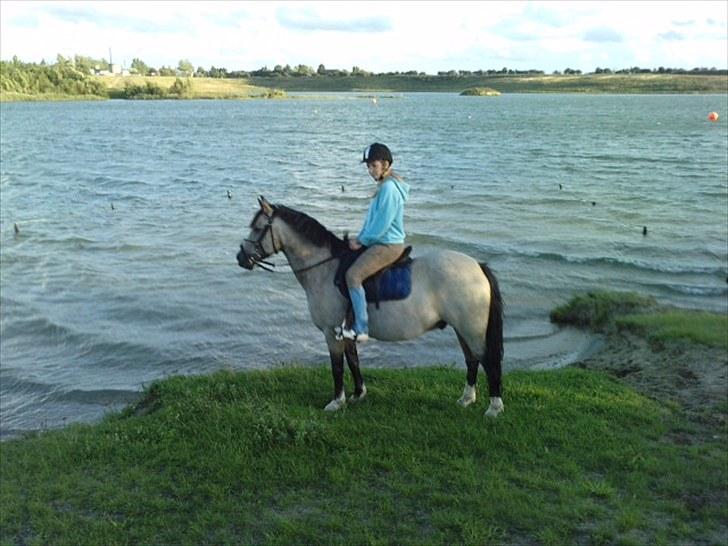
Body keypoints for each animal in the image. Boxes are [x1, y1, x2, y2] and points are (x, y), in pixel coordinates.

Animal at [237, 196, 505, 417]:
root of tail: (478, 266)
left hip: (472, 329)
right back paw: (466, 399)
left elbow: (337, 367)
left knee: (488, 361)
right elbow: (353, 360)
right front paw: (358, 395)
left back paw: (494, 408)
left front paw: (336, 402)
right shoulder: (345, 332)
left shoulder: (330, 332)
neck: (325, 269)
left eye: (258, 228)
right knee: (472, 360)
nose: (241, 258)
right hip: (462, 329)